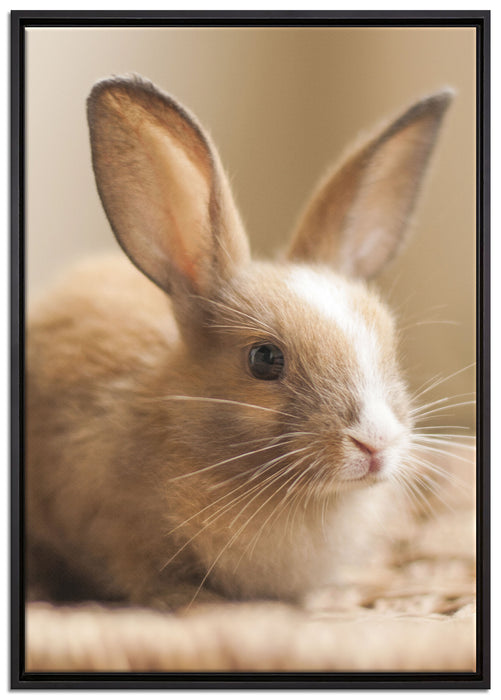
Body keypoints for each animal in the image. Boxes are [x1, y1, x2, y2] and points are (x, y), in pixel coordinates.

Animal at [26, 75, 453, 610]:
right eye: (264, 359)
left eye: (389, 344)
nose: (375, 442)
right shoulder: (114, 532)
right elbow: (143, 577)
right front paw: (195, 602)